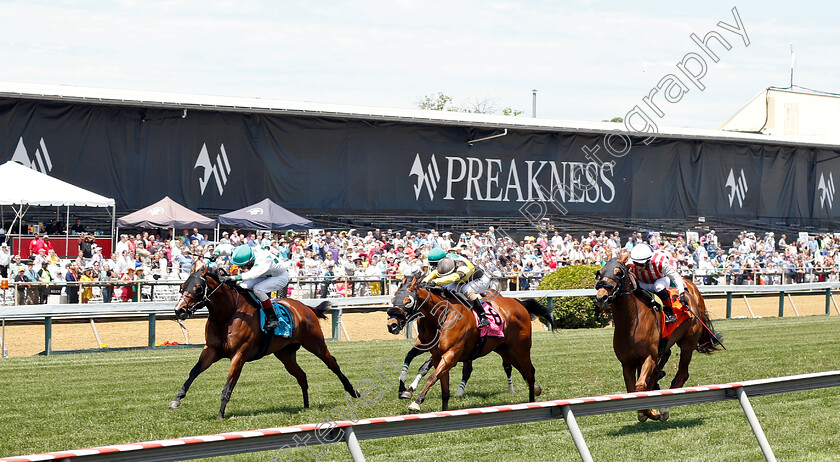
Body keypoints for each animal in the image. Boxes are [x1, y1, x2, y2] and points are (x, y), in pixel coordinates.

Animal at [169, 266, 360, 420]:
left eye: (198, 288)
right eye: (181, 287)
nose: (179, 310)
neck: (227, 315)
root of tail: (305, 307)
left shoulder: (239, 355)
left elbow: (228, 386)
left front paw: (220, 415)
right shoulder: (211, 350)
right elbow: (193, 372)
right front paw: (176, 400)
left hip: (316, 343)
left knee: (332, 364)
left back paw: (353, 391)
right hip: (285, 354)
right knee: (301, 375)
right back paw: (306, 406)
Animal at [386, 274, 552, 412]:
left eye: (408, 301)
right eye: (393, 299)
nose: (391, 325)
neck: (440, 317)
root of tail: (518, 303)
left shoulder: (451, 355)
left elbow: (431, 377)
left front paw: (416, 402)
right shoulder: (435, 354)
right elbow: (441, 386)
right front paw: (406, 389)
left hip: (521, 348)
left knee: (529, 371)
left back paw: (531, 400)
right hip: (505, 350)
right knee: (521, 370)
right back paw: (535, 390)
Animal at [592, 253, 724, 422]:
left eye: (619, 272)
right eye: (599, 272)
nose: (601, 297)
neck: (632, 322)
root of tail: (692, 291)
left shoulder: (649, 356)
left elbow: (640, 386)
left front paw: (651, 412)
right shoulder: (627, 363)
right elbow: (632, 389)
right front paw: (645, 410)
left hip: (687, 344)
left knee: (682, 374)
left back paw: (665, 407)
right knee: (662, 365)